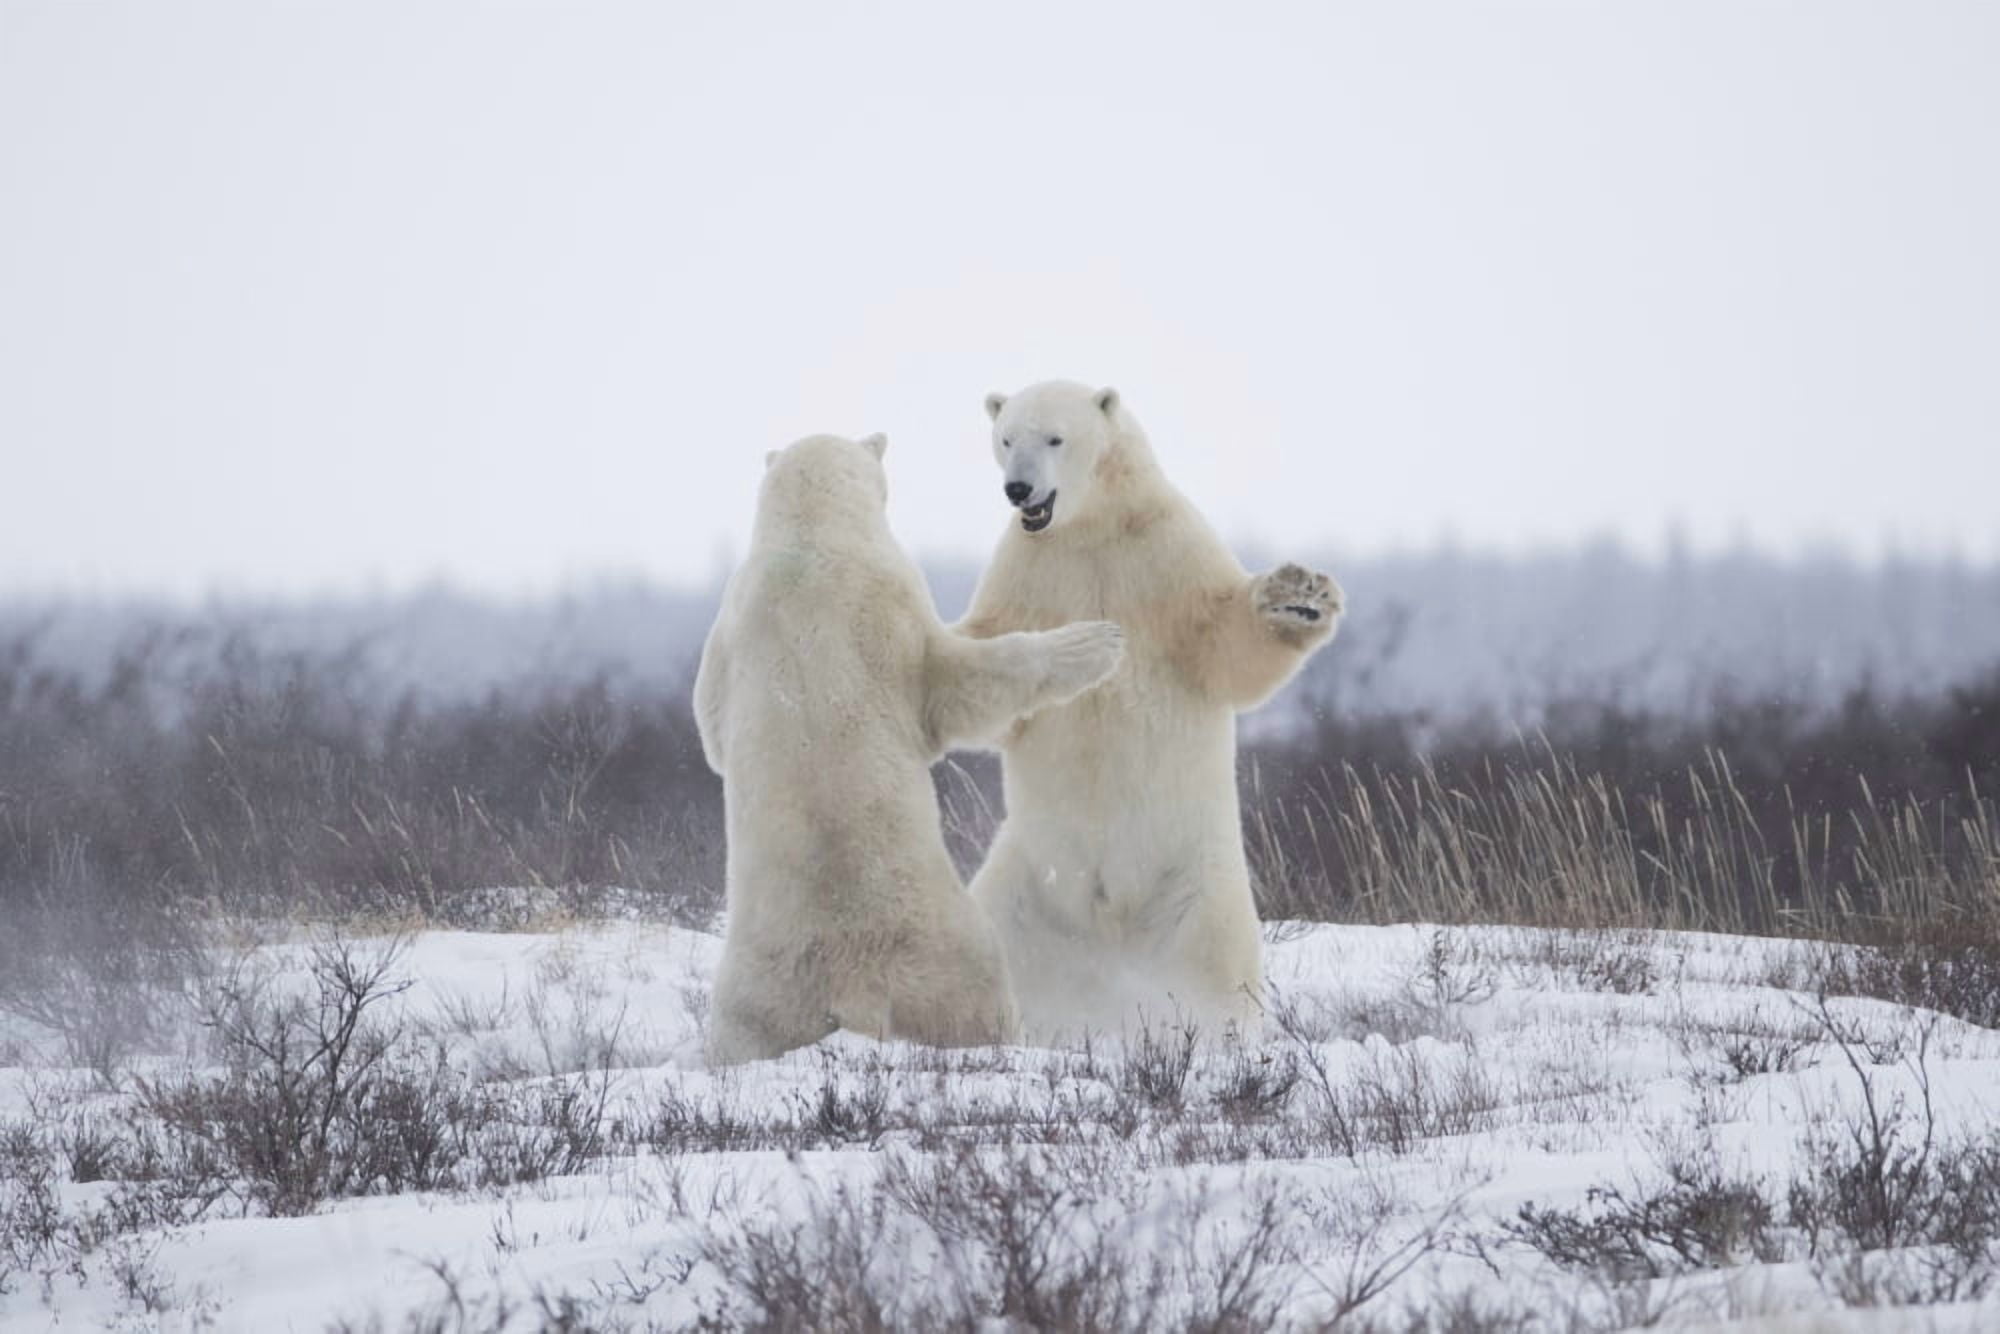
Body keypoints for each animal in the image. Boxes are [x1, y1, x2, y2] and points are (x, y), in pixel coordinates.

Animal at [694, 431, 1127, 1065]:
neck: (810, 539)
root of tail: (852, 991)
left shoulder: (728, 628)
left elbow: (711, 727)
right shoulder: (892, 598)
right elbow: (956, 682)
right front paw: (1097, 640)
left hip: (756, 997)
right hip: (951, 950)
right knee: (978, 997)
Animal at [958, 382, 1344, 1040]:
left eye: (1055, 438)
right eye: (1006, 438)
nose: (1019, 490)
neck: (1092, 525)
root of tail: (1108, 949)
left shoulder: (1166, 550)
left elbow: (1224, 641)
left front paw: (1298, 598)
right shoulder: (1027, 569)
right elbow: (996, 658)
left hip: (1199, 888)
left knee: (1216, 968)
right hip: (1021, 887)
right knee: (985, 942)